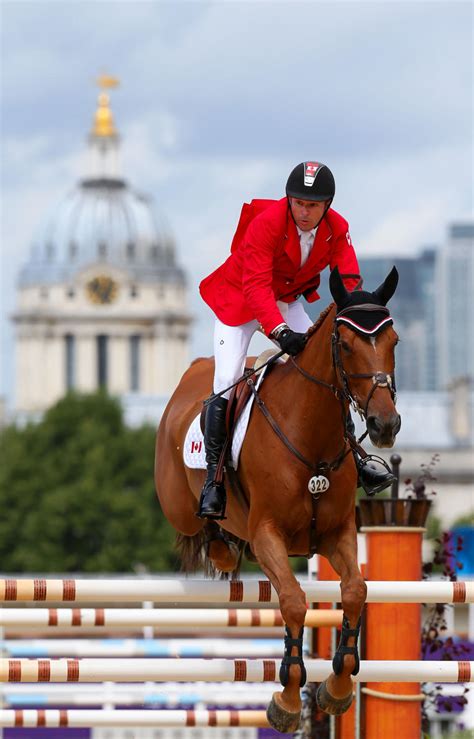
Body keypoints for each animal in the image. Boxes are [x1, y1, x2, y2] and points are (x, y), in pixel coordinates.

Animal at [156, 268, 400, 736]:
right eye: (346, 345)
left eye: (393, 341)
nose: (385, 425)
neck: (310, 431)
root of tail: (193, 371)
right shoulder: (268, 534)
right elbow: (293, 601)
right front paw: (287, 698)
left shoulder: (337, 533)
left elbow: (356, 591)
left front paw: (337, 687)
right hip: (177, 504)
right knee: (198, 521)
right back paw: (216, 530)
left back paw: (225, 549)